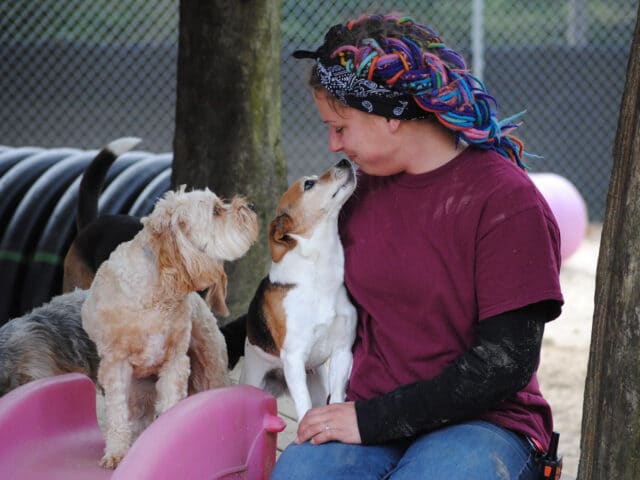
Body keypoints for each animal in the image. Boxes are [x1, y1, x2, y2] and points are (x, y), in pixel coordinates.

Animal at [82, 184, 258, 464]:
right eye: (216, 211)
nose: (251, 206)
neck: (158, 290)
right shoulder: (116, 366)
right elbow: (117, 413)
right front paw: (116, 453)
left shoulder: (175, 361)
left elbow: (171, 405)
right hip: (139, 387)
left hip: (210, 361)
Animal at [241, 158, 360, 420]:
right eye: (308, 184)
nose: (344, 160)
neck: (319, 276)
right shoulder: (294, 358)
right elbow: (304, 408)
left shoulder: (342, 351)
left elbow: (337, 398)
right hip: (255, 379)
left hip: (319, 384)